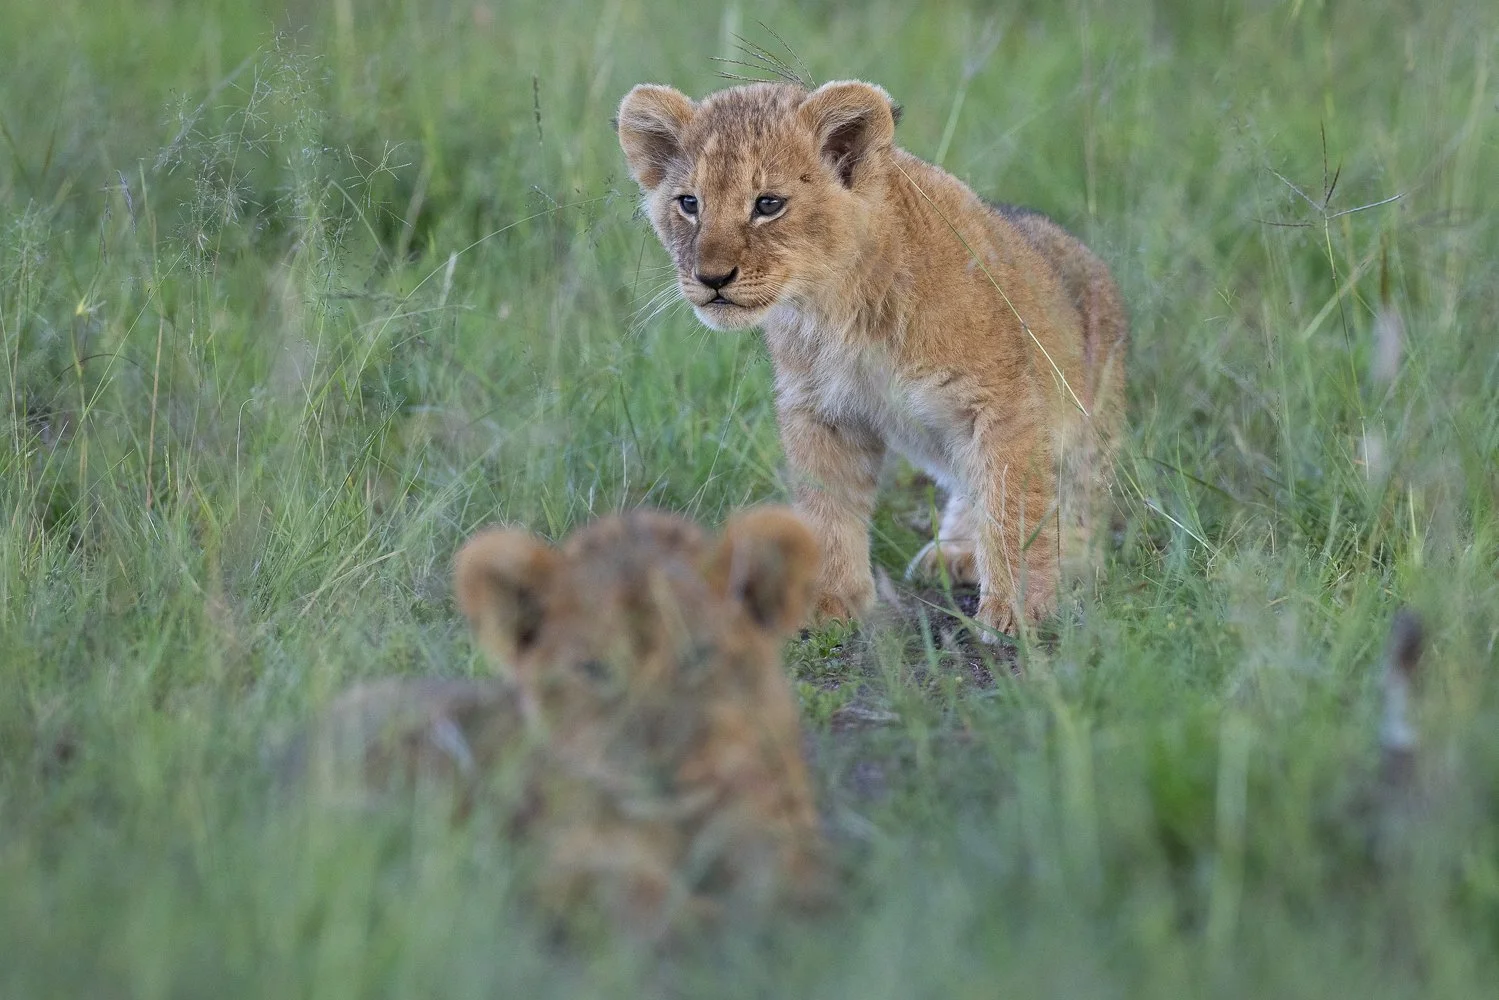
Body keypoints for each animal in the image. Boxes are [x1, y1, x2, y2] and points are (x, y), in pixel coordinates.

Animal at [279, 507, 829, 940]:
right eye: (595, 669)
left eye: (698, 655)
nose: (661, 768)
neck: (679, 821)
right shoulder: (550, 862)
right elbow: (635, 894)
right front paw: (703, 922)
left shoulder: (778, 828)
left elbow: (789, 878)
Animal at [616, 79, 1128, 637]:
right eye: (689, 203)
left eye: (768, 204)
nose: (711, 278)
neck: (839, 307)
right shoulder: (821, 411)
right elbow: (827, 509)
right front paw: (828, 603)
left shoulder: (1003, 403)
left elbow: (1013, 503)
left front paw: (1018, 609)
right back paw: (957, 552)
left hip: (1090, 416)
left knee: (1078, 492)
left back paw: (1070, 557)